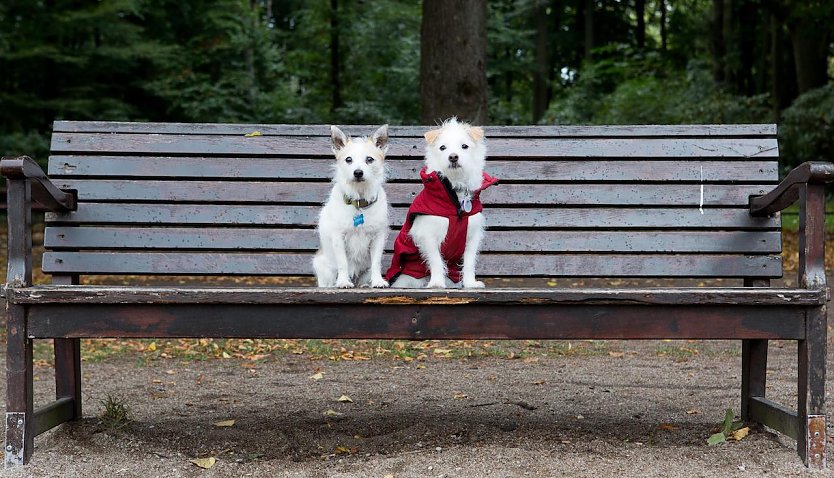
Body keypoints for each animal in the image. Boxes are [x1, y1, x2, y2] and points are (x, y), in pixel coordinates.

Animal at [312, 124, 390, 288]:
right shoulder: (338, 238)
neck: (359, 201)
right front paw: (343, 281)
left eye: (369, 159)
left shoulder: (378, 238)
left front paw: (378, 281)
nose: (358, 172)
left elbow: (376, 263)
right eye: (348, 159)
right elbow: (343, 263)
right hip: (322, 266)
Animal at [384, 116, 494, 288]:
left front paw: (470, 283)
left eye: (464, 146)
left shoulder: (472, 236)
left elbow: (469, 263)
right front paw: (436, 283)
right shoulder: (427, 235)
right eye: (443, 147)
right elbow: (436, 260)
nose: (453, 156)